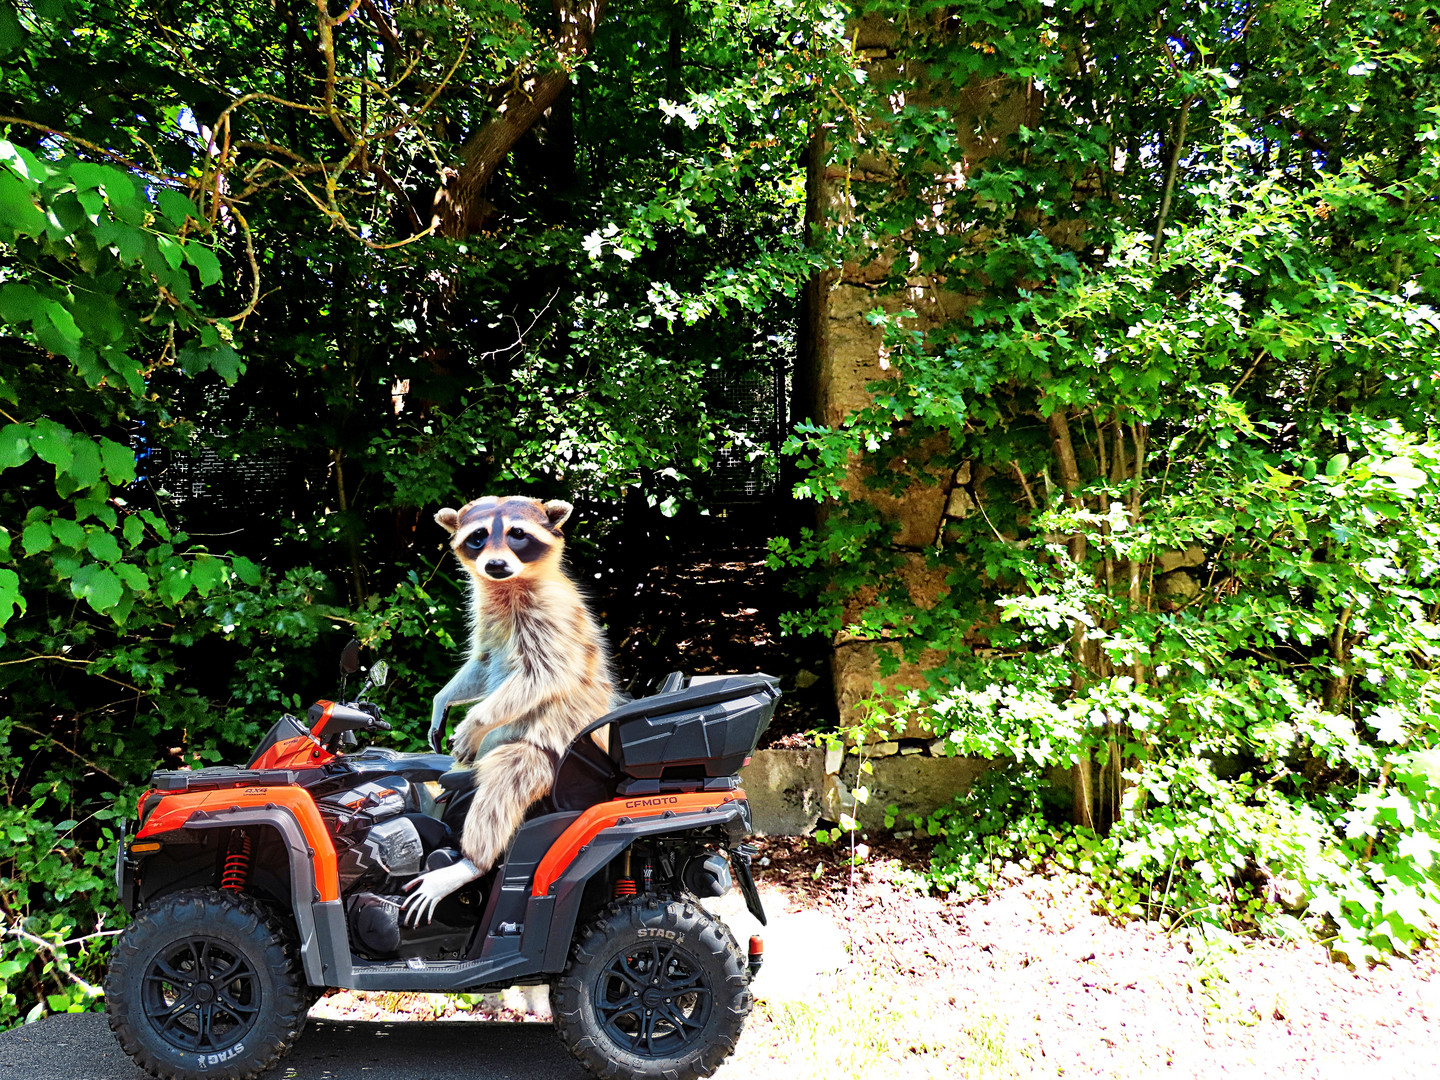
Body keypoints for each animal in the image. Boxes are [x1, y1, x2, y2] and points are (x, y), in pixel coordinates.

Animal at [403, 495, 616, 927]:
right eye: (478, 536)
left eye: (518, 534)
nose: (496, 565)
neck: (508, 585)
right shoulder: (488, 619)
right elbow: (482, 664)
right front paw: (442, 700)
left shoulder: (551, 614)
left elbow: (541, 675)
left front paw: (476, 721)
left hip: (548, 757)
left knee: (508, 774)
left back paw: (470, 863)